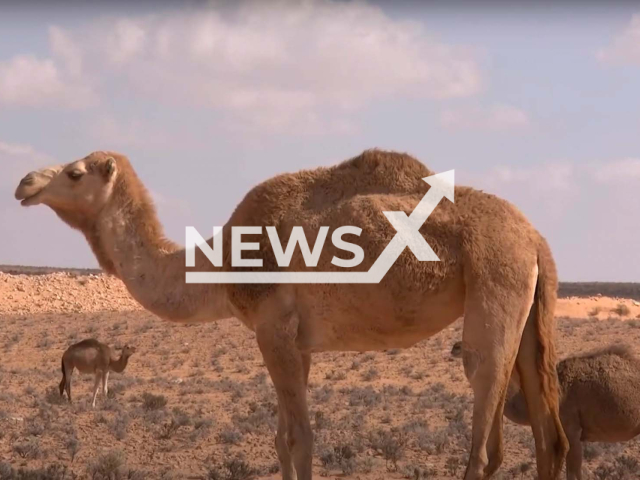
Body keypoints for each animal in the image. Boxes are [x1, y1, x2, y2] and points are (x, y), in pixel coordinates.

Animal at [13, 150, 568, 480]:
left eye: (74, 172)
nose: (23, 182)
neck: (222, 260)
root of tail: (535, 238)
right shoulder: (294, 343)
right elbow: (281, 441)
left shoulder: (273, 330)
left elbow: (300, 440)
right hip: (527, 311)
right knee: (550, 439)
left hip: (495, 286)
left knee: (484, 433)